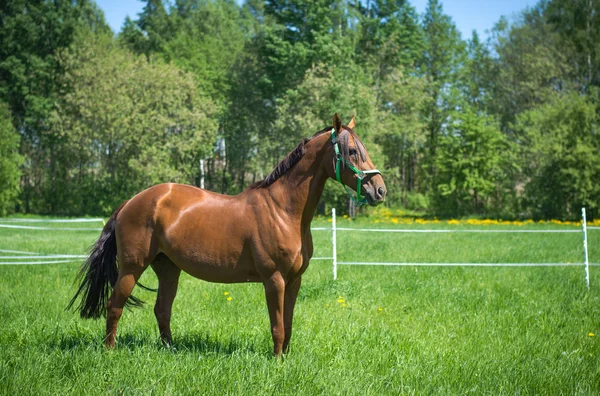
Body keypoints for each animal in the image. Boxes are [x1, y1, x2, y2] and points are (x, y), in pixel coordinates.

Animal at [70, 113, 386, 354]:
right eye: (352, 151)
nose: (380, 190)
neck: (283, 210)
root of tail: (131, 202)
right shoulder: (274, 279)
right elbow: (277, 326)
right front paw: (277, 362)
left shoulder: (294, 280)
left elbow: (289, 324)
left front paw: (285, 358)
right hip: (131, 268)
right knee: (114, 306)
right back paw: (109, 351)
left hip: (168, 269)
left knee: (162, 310)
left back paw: (170, 350)